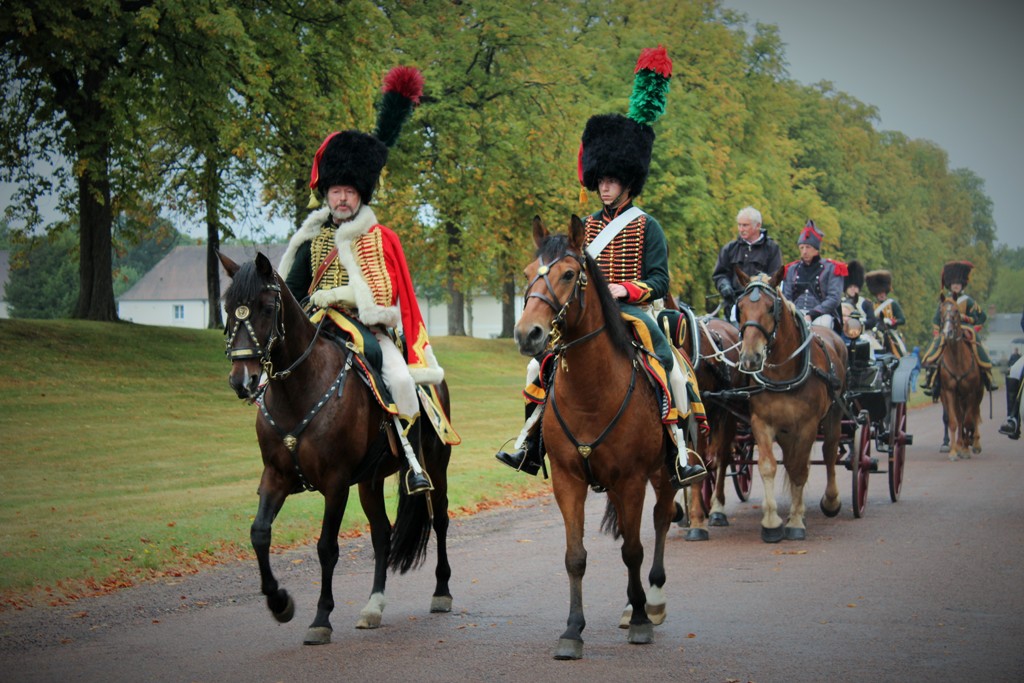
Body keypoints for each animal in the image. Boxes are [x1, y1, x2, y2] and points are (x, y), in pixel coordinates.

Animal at [219, 252, 452, 647]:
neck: (300, 388)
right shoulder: (276, 476)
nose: (242, 380)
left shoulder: (336, 482)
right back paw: (373, 606)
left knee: (440, 520)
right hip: (370, 481)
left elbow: (326, 548)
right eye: (228, 307)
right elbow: (259, 533)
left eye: (266, 307)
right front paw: (280, 602)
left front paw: (320, 619)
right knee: (382, 533)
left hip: (435, 464)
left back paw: (442, 591)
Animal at [512, 216, 679, 659]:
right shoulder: (568, 480)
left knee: (660, 520)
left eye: (569, 274)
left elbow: (633, 550)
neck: (592, 394)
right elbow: (575, 556)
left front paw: (640, 621)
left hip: (664, 474)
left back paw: (652, 602)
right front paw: (572, 630)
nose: (528, 334)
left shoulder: (632, 480)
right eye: (527, 272)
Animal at [737, 270, 847, 540]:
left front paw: (796, 522)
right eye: (740, 307)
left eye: (770, 307)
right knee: (790, 459)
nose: (750, 357)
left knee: (829, 452)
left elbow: (799, 468)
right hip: (786, 430)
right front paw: (771, 522)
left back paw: (831, 501)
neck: (782, 374)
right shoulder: (762, 422)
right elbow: (769, 466)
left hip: (833, 415)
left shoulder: (807, 425)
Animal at [937, 294, 983, 458]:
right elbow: (953, 421)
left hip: (978, 394)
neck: (957, 360)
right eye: (941, 311)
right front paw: (953, 451)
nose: (947, 333)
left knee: (974, 414)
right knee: (959, 416)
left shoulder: (971, 392)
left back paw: (974, 443)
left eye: (956, 311)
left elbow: (968, 420)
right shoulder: (949, 392)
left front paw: (965, 448)